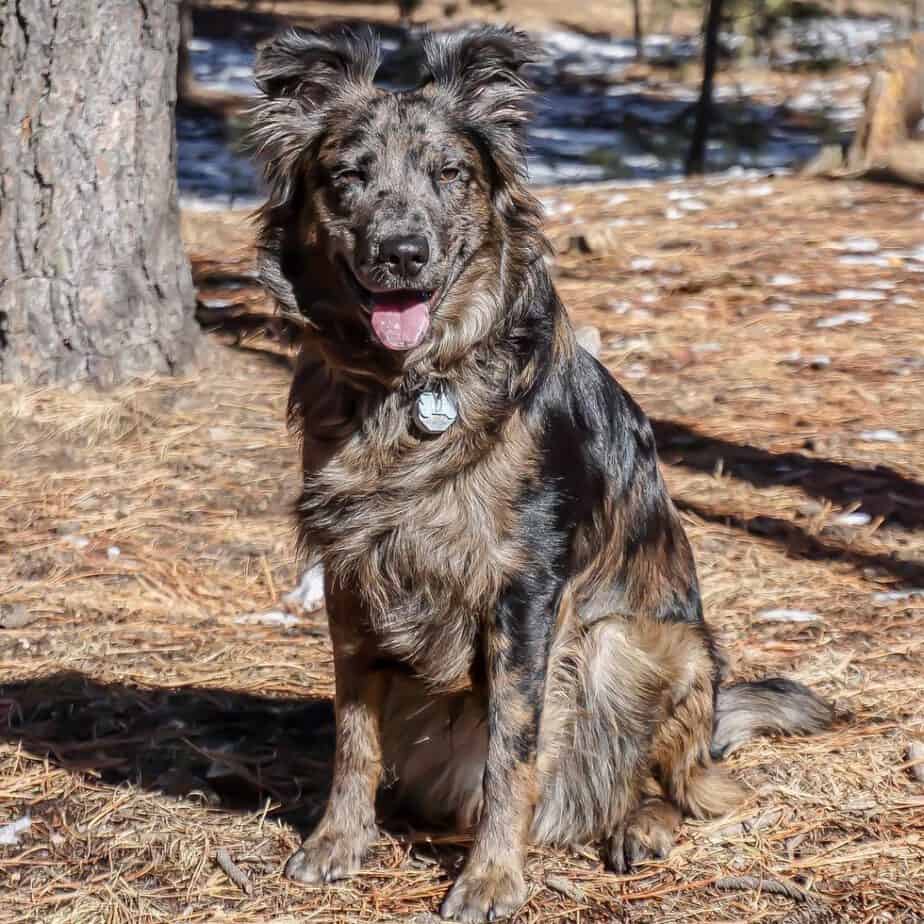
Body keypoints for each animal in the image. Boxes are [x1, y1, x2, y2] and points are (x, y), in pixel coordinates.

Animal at [249, 25, 832, 920]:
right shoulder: (350, 573)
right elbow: (353, 734)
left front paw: (493, 877)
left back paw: (640, 825)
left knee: (680, 785)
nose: (403, 253)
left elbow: (512, 752)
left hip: (640, 644)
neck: (412, 384)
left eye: (451, 173)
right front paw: (337, 841)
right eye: (348, 176)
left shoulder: (523, 589)